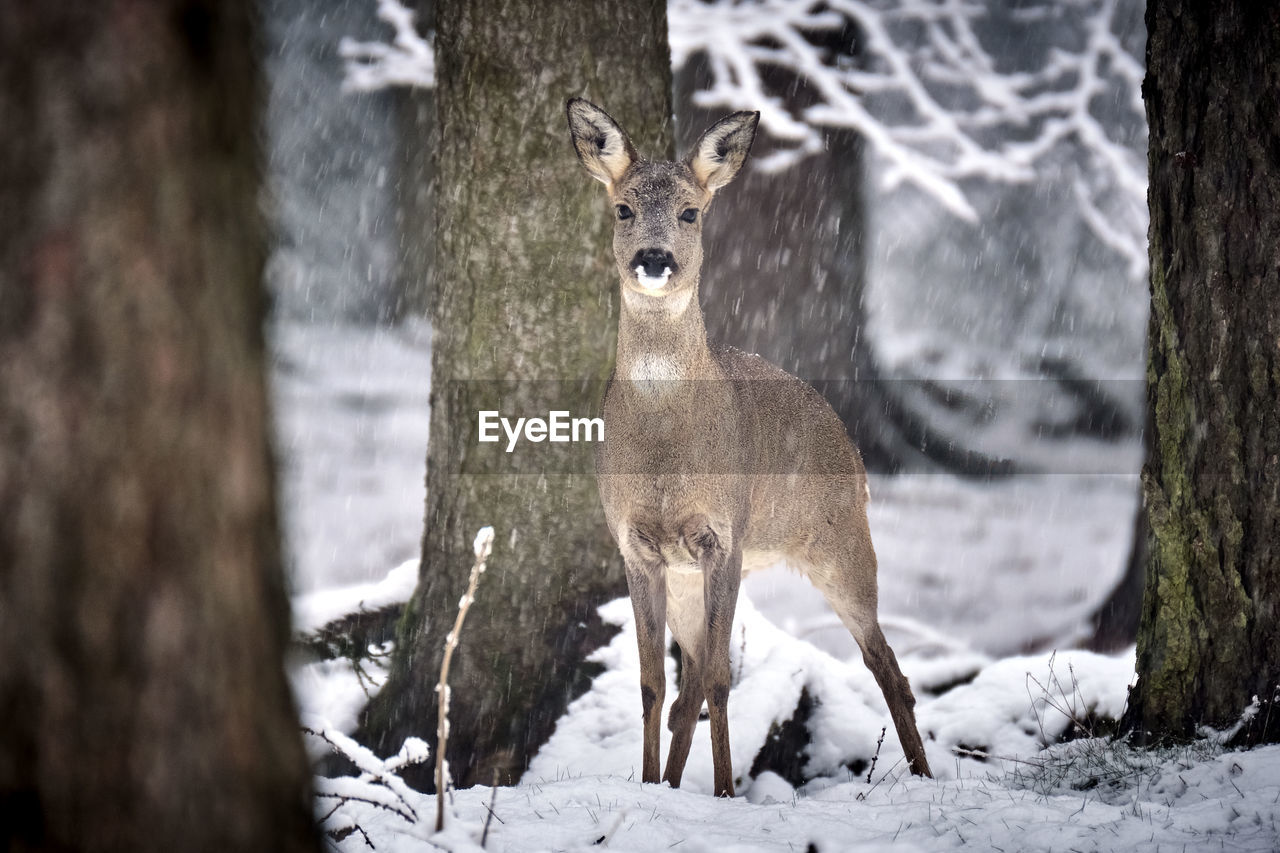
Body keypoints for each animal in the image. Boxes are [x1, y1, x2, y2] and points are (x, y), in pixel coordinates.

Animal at [565, 96, 936, 794]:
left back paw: (926, 778)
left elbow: (719, 677)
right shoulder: (636, 544)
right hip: (696, 576)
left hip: (842, 543)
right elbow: (653, 684)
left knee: (887, 664)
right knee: (686, 685)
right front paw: (653, 786)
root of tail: (853, 453)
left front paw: (725, 793)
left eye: (691, 211)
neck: (665, 449)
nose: (653, 258)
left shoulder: (725, 534)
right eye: (623, 207)